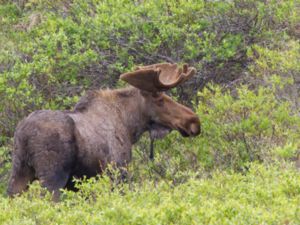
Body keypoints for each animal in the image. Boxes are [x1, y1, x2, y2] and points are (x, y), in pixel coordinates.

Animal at [7, 62, 200, 199]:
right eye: (159, 99)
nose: (194, 121)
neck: (130, 126)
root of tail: (23, 134)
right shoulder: (118, 171)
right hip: (52, 177)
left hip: (20, 172)